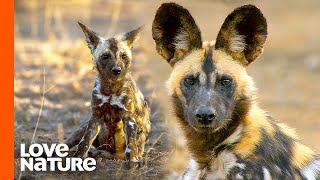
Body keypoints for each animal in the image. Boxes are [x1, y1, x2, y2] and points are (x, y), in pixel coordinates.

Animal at [65, 22, 151, 163]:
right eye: (105, 56)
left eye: (123, 56)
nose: (117, 70)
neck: (111, 89)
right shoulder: (95, 118)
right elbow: (84, 143)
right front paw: (78, 158)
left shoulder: (128, 119)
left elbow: (131, 148)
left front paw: (133, 163)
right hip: (84, 127)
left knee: (120, 154)